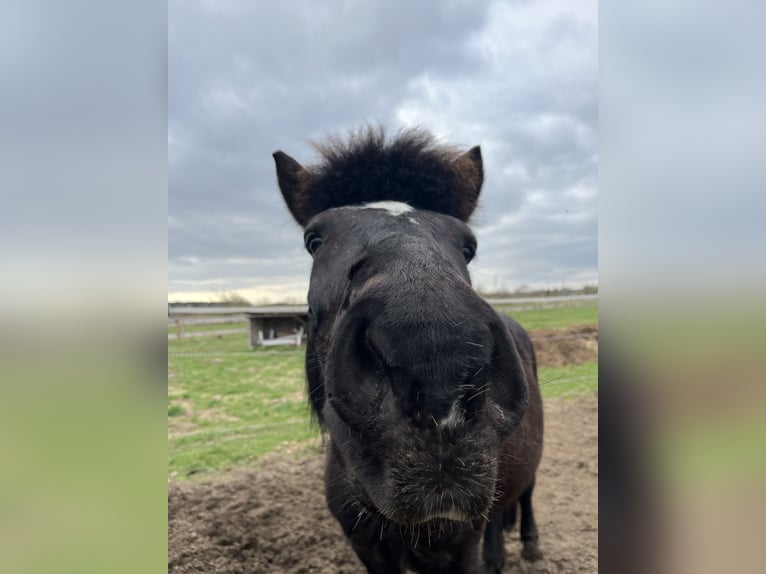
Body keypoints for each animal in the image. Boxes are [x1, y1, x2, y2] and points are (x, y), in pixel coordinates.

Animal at [273, 126, 545, 574]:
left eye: (467, 246)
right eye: (314, 239)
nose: (436, 375)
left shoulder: (459, 548)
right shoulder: (369, 550)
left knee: (528, 492)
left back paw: (530, 545)